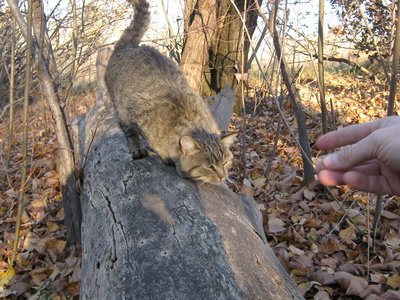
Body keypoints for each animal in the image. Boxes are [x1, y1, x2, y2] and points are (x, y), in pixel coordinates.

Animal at [104, 0, 236, 184]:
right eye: (209, 167)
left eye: (225, 162)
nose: (223, 176)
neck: (192, 124)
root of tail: (129, 45)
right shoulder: (138, 113)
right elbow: (158, 146)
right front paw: (166, 156)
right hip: (121, 107)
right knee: (128, 130)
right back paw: (137, 148)